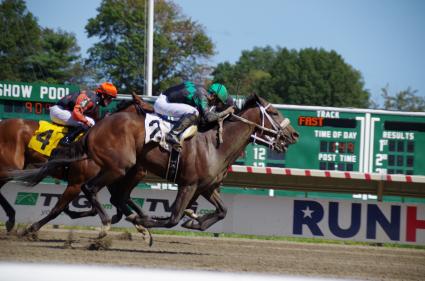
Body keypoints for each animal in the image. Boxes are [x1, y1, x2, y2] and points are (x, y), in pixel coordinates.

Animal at [0, 93, 152, 233]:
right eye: (148, 109)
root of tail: (3, 123)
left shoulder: (99, 179)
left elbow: (100, 206)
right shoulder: (76, 183)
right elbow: (58, 209)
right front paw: (32, 228)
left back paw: (11, 217)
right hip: (12, 166)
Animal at [19, 93, 298, 233]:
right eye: (274, 113)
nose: (294, 134)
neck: (216, 144)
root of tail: (95, 126)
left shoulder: (206, 187)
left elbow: (222, 211)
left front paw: (195, 221)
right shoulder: (188, 184)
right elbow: (173, 217)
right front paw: (145, 221)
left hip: (124, 170)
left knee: (110, 195)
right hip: (119, 166)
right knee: (91, 189)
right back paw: (104, 224)